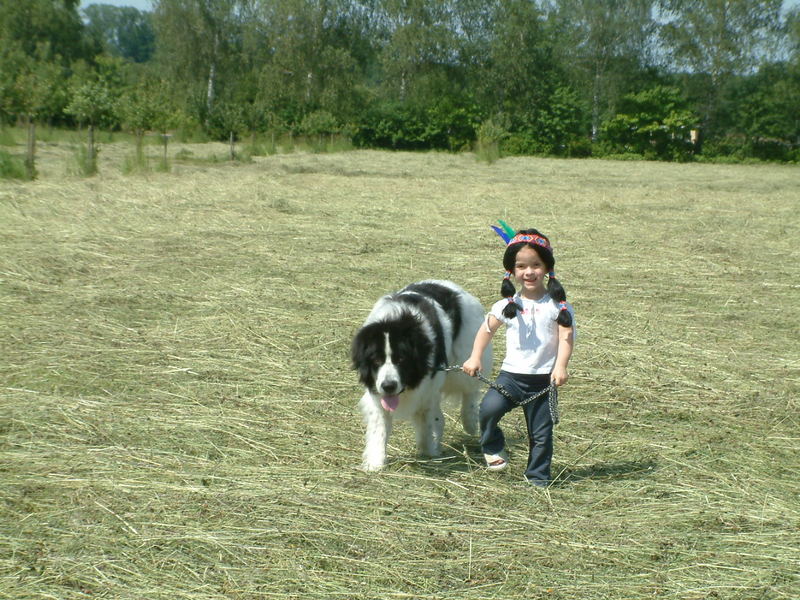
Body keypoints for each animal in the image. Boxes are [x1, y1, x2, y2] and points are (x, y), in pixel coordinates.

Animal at [354, 278, 490, 472]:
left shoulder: (427, 389)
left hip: (466, 355)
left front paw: (428, 451)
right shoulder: (377, 392)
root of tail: (451, 285)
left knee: (469, 387)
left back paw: (470, 421)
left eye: (401, 359)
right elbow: (379, 427)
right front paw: (375, 462)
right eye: (376, 361)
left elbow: (426, 419)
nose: (388, 386)